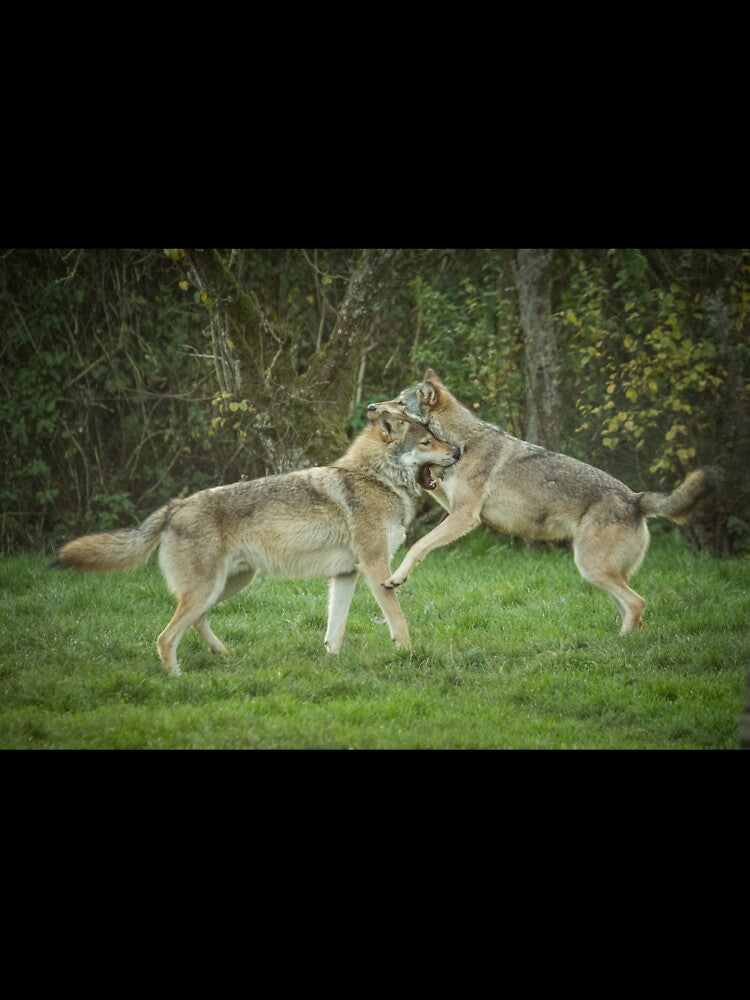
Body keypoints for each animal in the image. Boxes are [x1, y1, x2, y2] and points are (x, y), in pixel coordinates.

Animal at [54, 410, 460, 675]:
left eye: (437, 437)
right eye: (427, 442)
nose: (457, 451)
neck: (376, 479)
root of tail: (175, 506)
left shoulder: (346, 574)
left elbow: (336, 630)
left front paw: (332, 666)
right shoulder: (376, 567)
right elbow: (398, 620)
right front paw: (408, 656)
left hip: (227, 585)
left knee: (195, 623)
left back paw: (222, 655)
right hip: (208, 589)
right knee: (165, 637)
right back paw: (178, 680)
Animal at [369, 369, 716, 635]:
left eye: (400, 402)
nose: (373, 406)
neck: (462, 441)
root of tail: (635, 498)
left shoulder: (465, 516)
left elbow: (417, 546)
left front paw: (396, 578)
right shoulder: (452, 506)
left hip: (591, 568)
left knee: (637, 603)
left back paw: (621, 646)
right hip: (604, 573)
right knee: (634, 608)